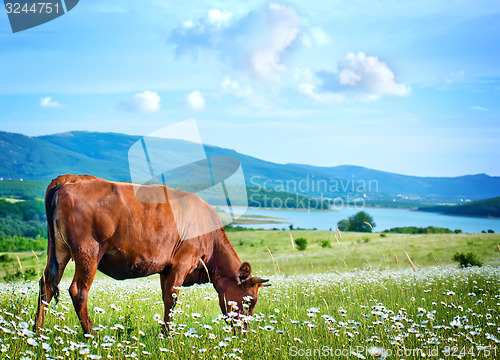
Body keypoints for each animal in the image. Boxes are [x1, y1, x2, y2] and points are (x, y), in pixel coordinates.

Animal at [34, 174, 270, 334]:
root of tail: (70, 179)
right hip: (88, 252)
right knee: (78, 291)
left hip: (59, 250)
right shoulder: (182, 263)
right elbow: (172, 299)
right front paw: (168, 335)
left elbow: (166, 299)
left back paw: (37, 332)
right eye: (249, 301)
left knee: (46, 285)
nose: (243, 332)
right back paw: (91, 334)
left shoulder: (166, 268)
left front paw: (164, 332)